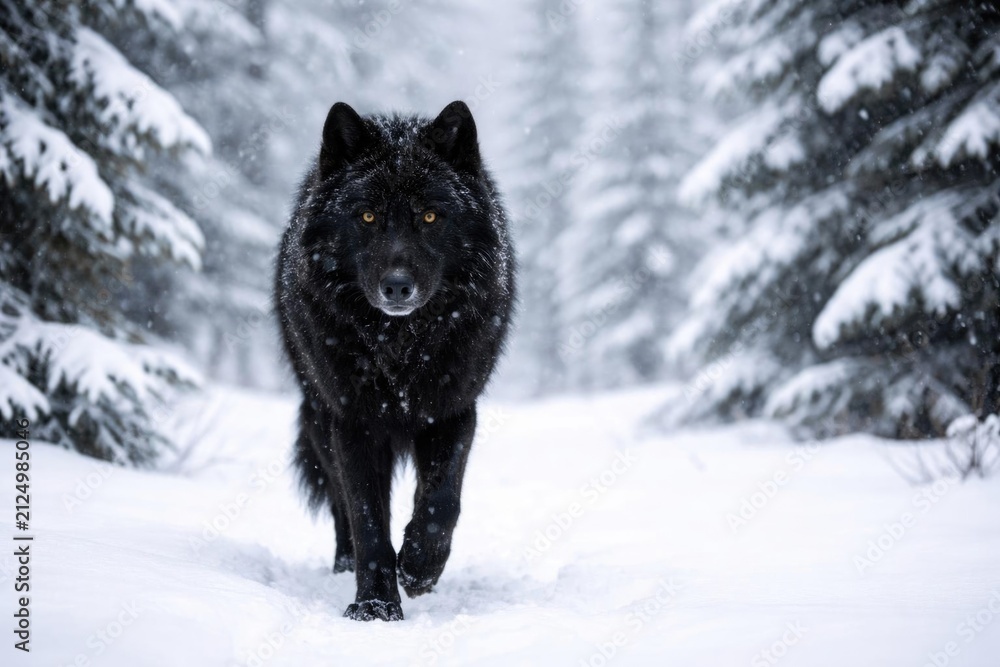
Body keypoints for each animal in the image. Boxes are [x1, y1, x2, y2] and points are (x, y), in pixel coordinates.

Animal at [274, 101, 515, 621]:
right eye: (367, 216)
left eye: (430, 215)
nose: (398, 285)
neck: (401, 347)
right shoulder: (354, 422)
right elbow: (367, 520)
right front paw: (375, 606)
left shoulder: (453, 411)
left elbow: (442, 502)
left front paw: (420, 568)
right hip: (319, 417)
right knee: (340, 505)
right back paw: (345, 567)